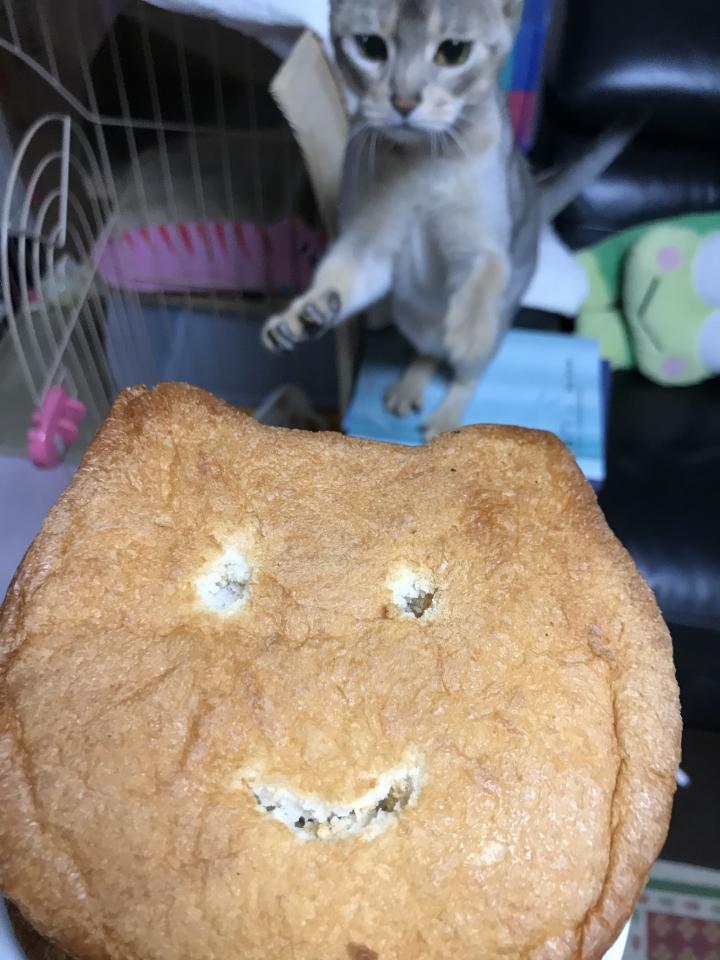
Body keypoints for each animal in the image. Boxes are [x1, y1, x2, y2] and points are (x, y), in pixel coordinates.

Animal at [261, 0, 634, 439]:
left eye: (454, 52)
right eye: (370, 46)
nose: (404, 102)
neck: (422, 159)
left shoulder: (481, 239)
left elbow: (486, 271)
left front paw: (467, 330)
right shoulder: (369, 242)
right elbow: (341, 276)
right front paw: (304, 315)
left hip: (498, 320)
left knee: (467, 372)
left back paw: (446, 417)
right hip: (412, 316)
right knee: (428, 349)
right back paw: (408, 386)